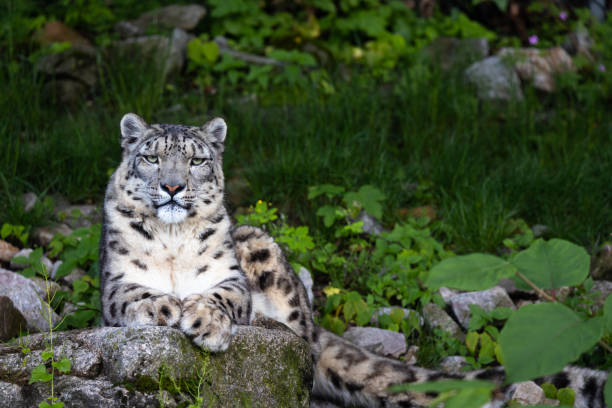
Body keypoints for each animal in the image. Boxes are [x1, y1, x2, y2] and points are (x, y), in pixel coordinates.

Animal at [101, 113, 608, 406]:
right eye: (151, 157)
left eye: (197, 161)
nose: (171, 187)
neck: (173, 241)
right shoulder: (113, 283)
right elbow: (131, 294)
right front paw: (163, 306)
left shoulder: (231, 276)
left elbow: (224, 294)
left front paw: (204, 321)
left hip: (262, 249)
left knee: (303, 351)